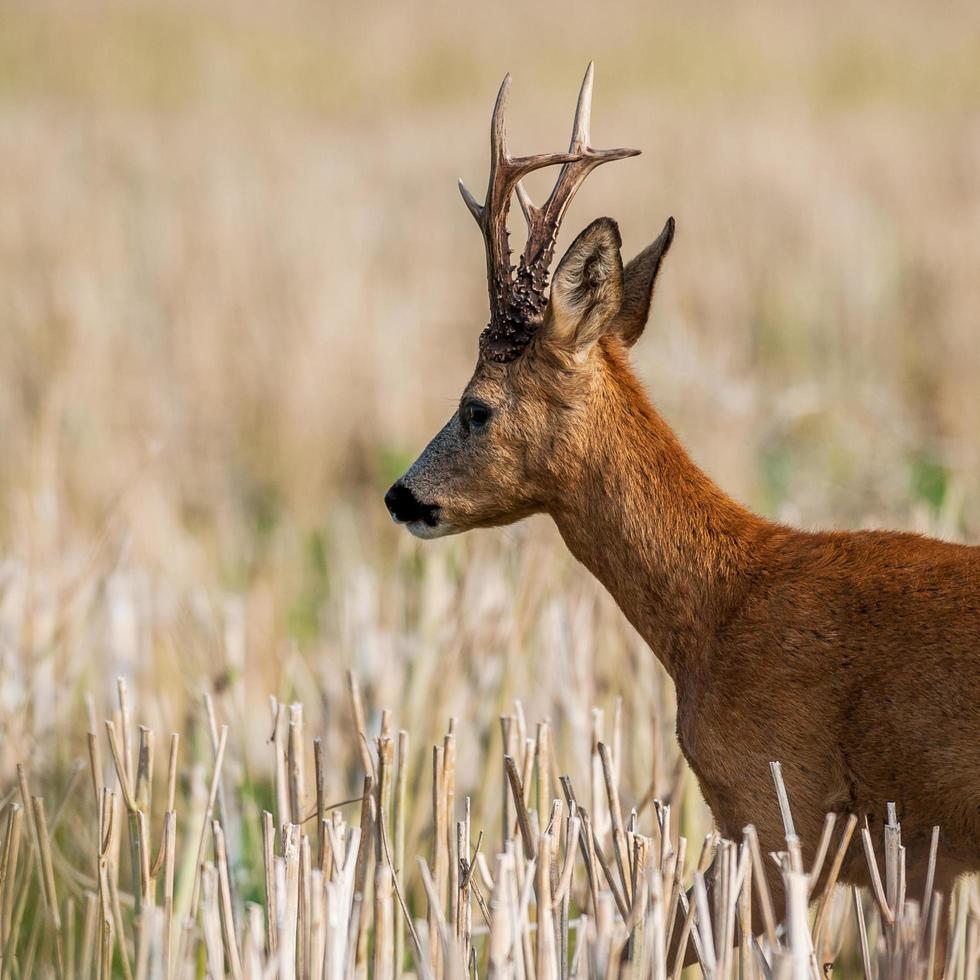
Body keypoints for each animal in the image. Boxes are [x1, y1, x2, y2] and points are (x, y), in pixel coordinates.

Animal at [382, 65, 980, 968]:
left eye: (475, 407)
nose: (401, 496)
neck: (719, 605)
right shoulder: (920, 855)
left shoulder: (780, 809)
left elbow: (655, 941)